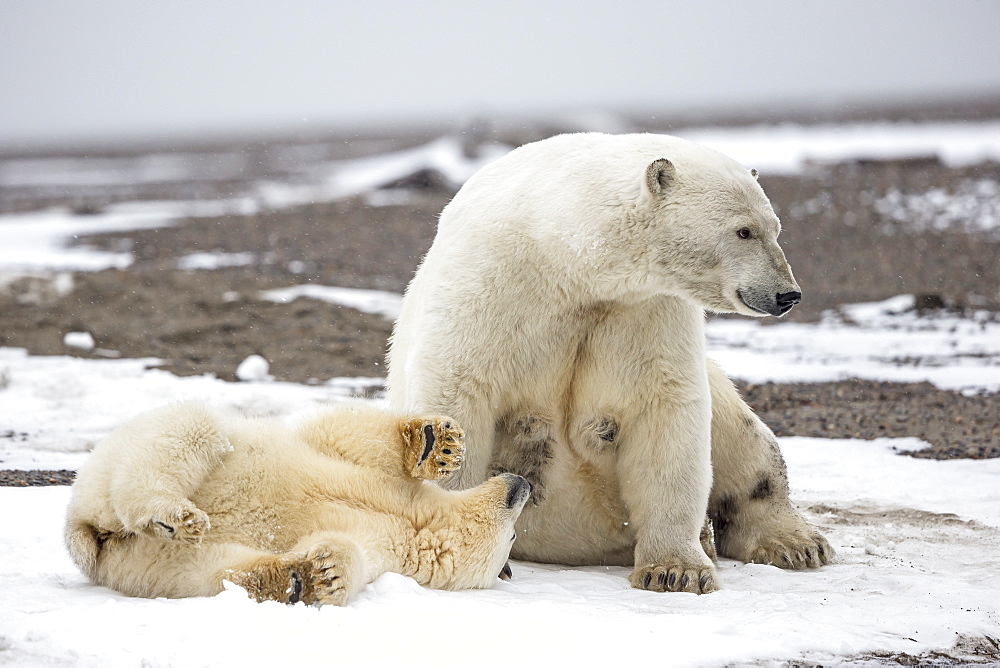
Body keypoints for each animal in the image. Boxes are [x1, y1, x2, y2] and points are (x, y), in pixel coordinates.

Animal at [386, 132, 832, 596]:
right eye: (744, 230)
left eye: (776, 228)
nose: (787, 294)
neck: (560, 253)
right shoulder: (493, 284)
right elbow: (459, 391)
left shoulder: (642, 311)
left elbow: (666, 408)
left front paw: (676, 570)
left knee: (740, 435)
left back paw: (792, 543)